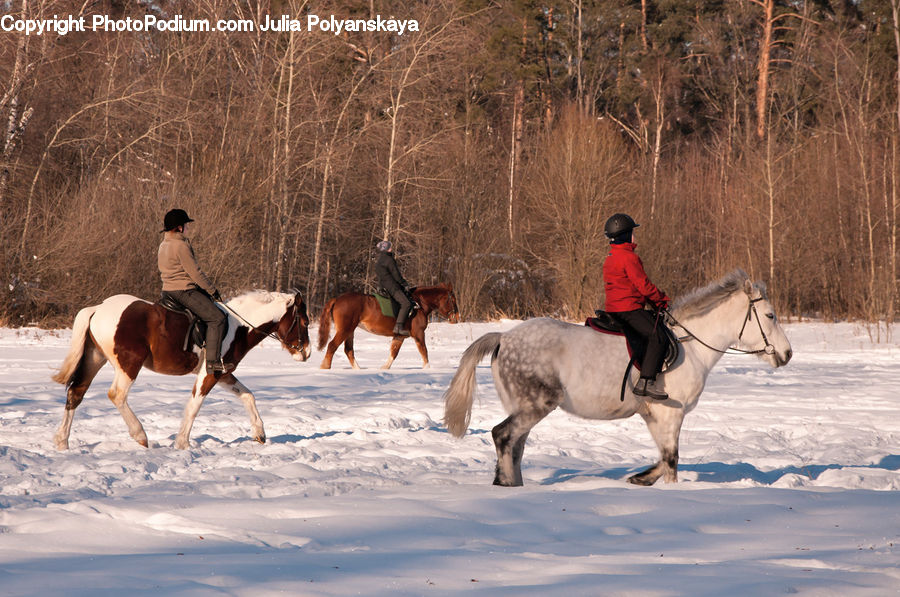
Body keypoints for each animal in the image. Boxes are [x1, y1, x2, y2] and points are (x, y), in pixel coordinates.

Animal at [52, 290, 311, 450]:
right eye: (305, 322)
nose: (306, 353)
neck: (238, 327)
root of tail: (98, 308)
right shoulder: (211, 373)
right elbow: (194, 406)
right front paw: (183, 443)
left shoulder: (224, 374)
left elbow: (248, 395)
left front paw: (260, 434)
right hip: (129, 365)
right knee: (116, 395)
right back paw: (140, 435)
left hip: (95, 359)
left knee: (76, 393)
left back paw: (62, 442)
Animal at [318, 283, 460, 369]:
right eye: (452, 300)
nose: (457, 318)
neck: (419, 304)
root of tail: (337, 299)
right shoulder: (419, 334)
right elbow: (424, 351)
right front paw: (427, 368)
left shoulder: (399, 336)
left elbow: (394, 352)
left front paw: (384, 368)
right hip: (345, 330)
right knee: (332, 346)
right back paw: (325, 367)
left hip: (350, 331)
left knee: (348, 350)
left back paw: (358, 369)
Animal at [443, 269, 793, 487]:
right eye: (770, 315)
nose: (787, 354)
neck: (691, 345)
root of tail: (503, 337)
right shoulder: (671, 414)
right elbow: (671, 460)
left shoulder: (655, 416)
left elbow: (664, 459)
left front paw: (641, 478)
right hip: (536, 405)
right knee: (503, 436)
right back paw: (506, 485)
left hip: (525, 408)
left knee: (514, 445)